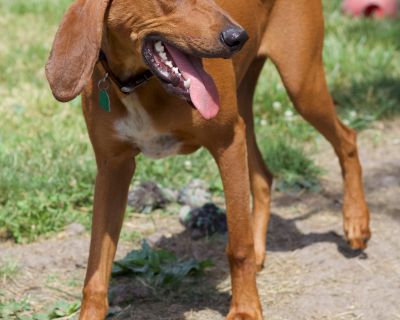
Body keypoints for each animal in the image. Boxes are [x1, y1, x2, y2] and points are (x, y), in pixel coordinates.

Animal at [46, 0, 372, 318]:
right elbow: (96, 270)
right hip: (246, 108)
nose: (238, 37)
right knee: (263, 177)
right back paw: (262, 249)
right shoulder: (113, 169)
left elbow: (238, 245)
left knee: (348, 139)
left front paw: (245, 309)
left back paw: (356, 222)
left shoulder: (227, 143)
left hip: (300, 84)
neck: (139, 83)